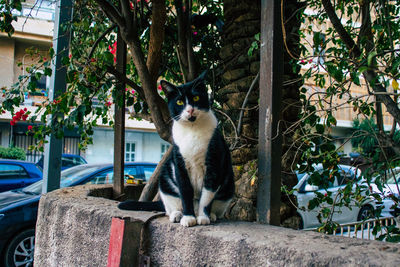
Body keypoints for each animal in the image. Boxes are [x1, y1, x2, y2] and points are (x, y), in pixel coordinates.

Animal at [118, 72, 234, 227]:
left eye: (196, 98)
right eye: (179, 102)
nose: (190, 109)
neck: (192, 129)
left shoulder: (214, 162)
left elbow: (207, 194)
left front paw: (203, 217)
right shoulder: (179, 163)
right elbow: (185, 191)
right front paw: (188, 218)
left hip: (228, 187)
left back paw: (211, 215)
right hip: (165, 178)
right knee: (170, 207)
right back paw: (178, 215)